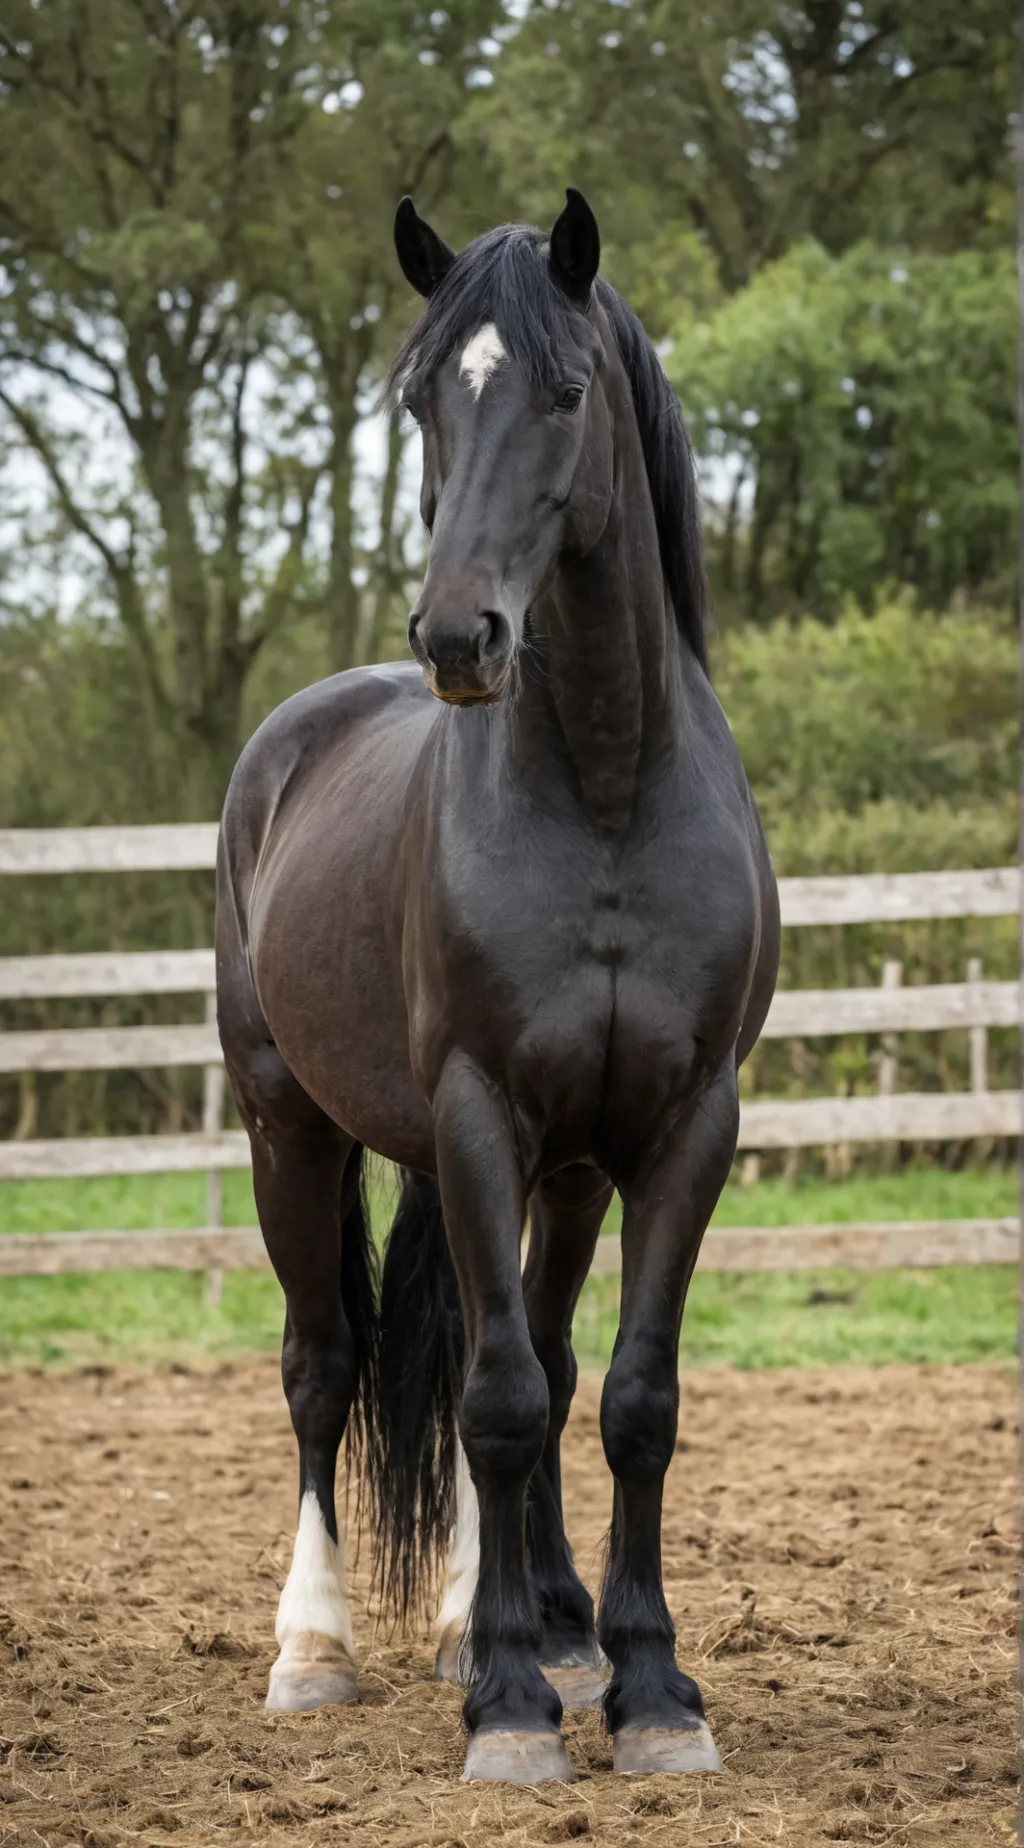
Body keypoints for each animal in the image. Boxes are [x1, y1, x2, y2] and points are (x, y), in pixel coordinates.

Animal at [215, 187, 779, 1785]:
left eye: (567, 393)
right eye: (421, 399)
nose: (461, 637)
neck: (603, 793)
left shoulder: (680, 1126)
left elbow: (626, 1396)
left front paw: (644, 1688)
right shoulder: (473, 1114)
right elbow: (502, 1401)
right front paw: (516, 1709)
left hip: (565, 1169)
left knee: (524, 1344)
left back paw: (507, 1615)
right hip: (289, 1127)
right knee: (327, 1367)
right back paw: (319, 1649)